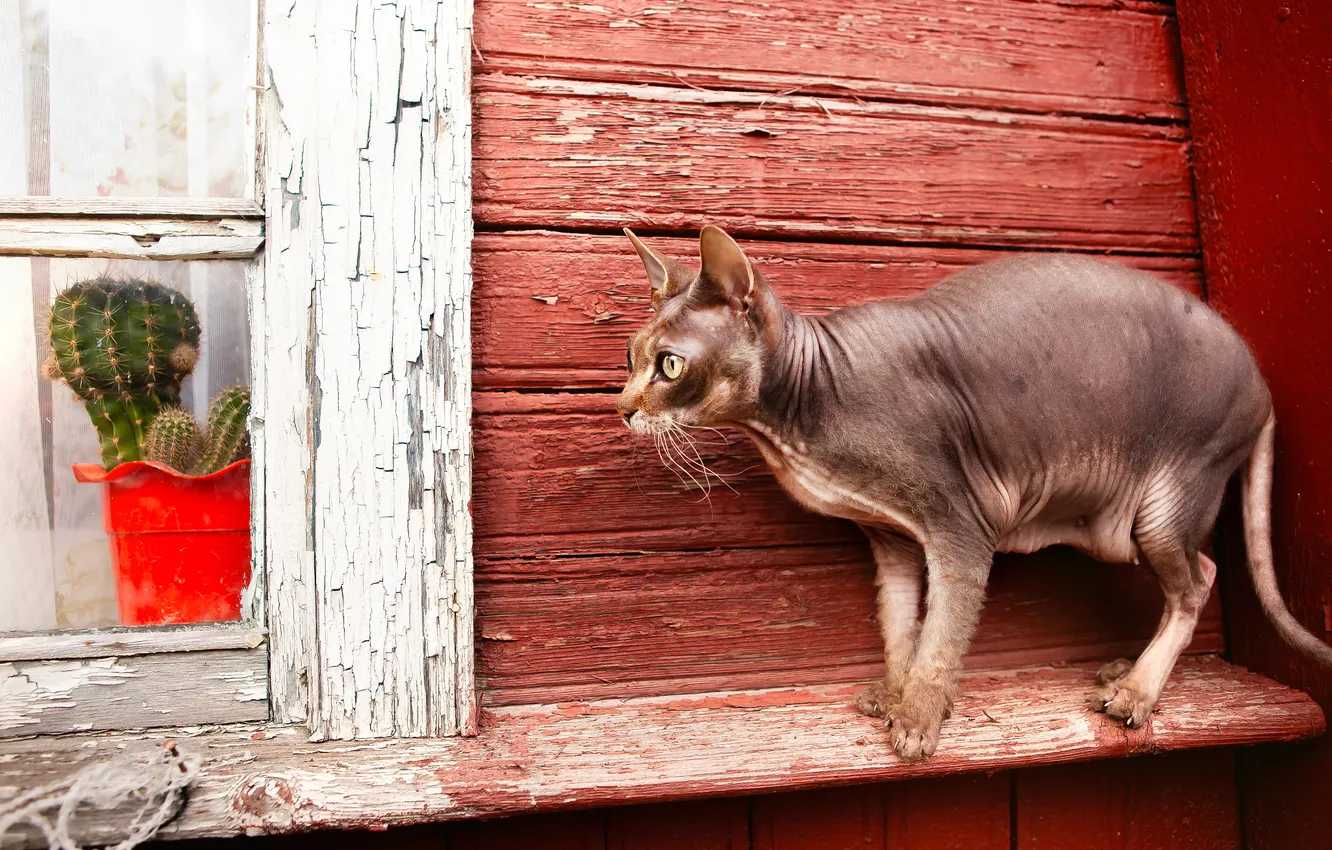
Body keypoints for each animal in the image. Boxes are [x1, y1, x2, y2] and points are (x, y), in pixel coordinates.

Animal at [612, 226, 1332, 767]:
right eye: (630, 356)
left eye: (669, 366)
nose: (621, 408)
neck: (805, 411)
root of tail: (1262, 383)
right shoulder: (893, 539)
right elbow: (901, 623)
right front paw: (895, 693)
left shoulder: (960, 529)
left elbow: (943, 635)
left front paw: (919, 720)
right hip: (1118, 526)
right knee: (1194, 571)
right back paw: (1122, 670)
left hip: (1166, 498)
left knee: (1199, 578)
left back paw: (1136, 692)